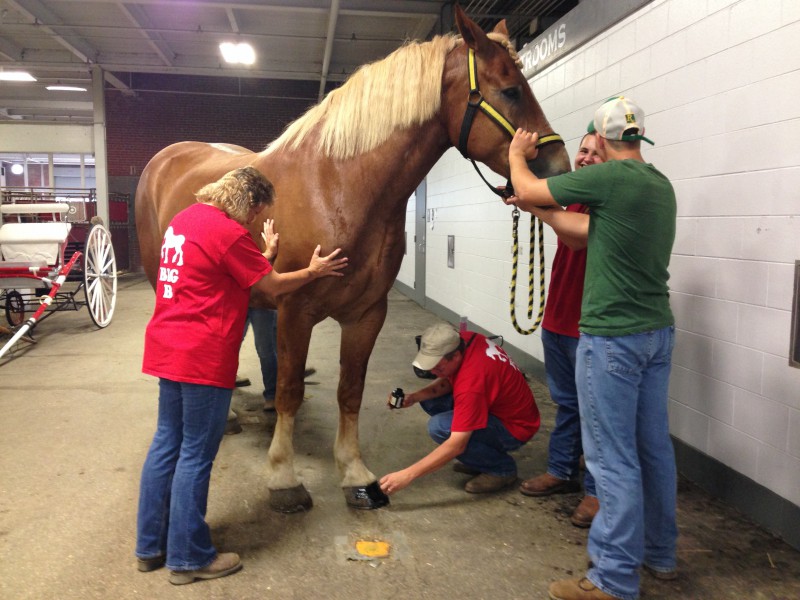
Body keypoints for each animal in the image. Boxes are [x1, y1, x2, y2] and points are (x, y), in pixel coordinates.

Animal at [134, 3, 568, 510]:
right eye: (511, 90)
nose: (559, 169)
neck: (338, 185)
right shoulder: (294, 310)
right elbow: (290, 390)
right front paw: (283, 476)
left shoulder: (367, 314)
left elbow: (350, 390)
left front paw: (354, 472)